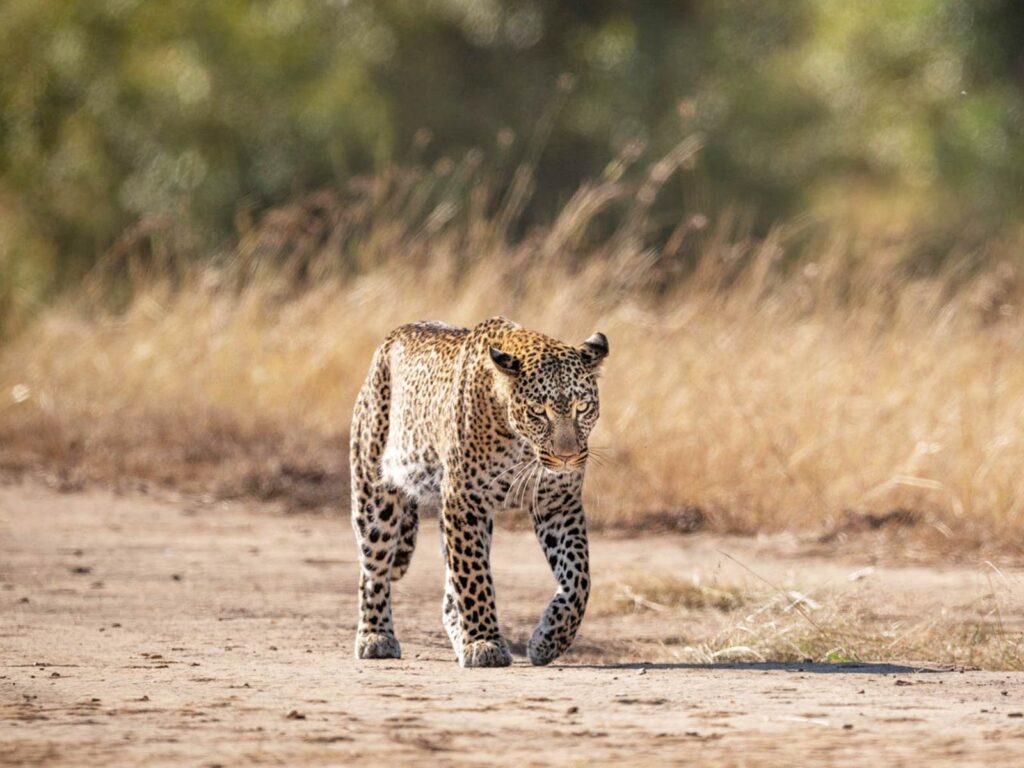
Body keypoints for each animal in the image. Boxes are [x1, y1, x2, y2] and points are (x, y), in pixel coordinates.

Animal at [352, 317, 606, 667]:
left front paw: (549, 639)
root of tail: (390, 340)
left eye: (582, 408)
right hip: (375, 496)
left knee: (448, 593)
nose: (567, 457)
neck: (521, 444)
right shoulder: (464, 500)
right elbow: (473, 575)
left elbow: (579, 577)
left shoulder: (558, 503)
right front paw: (485, 643)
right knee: (373, 569)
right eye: (538, 412)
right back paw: (375, 637)